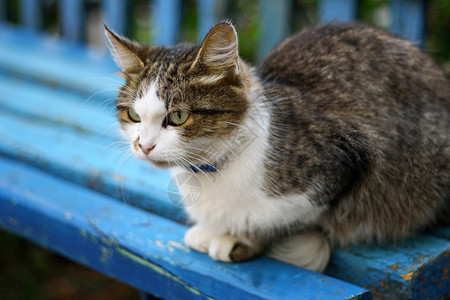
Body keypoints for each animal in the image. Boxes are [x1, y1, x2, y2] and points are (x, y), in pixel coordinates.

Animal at [106, 22, 450, 274]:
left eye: (178, 116)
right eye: (133, 115)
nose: (144, 146)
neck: (211, 170)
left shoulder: (345, 164)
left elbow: (283, 221)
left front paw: (239, 238)